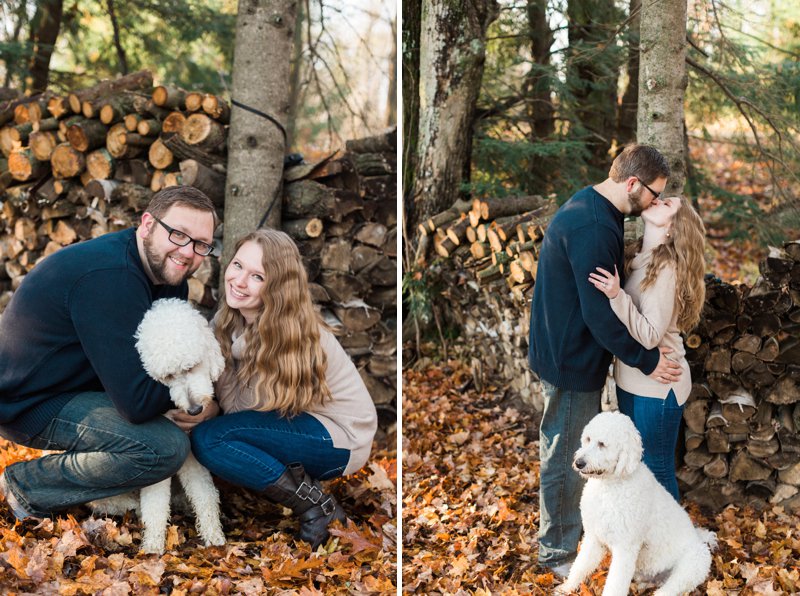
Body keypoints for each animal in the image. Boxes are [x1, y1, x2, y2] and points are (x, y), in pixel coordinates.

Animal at [91, 300, 228, 556]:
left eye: (192, 366)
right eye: (168, 376)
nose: (194, 410)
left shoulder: (192, 455)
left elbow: (204, 493)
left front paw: (214, 535)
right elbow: (155, 505)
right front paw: (153, 546)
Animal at [556, 412, 720, 592]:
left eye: (602, 444)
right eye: (588, 439)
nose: (579, 463)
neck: (610, 485)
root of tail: (700, 539)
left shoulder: (625, 548)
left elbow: (615, 584)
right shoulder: (594, 537)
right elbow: (580, 565)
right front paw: (566, 588)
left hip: (694, 564)